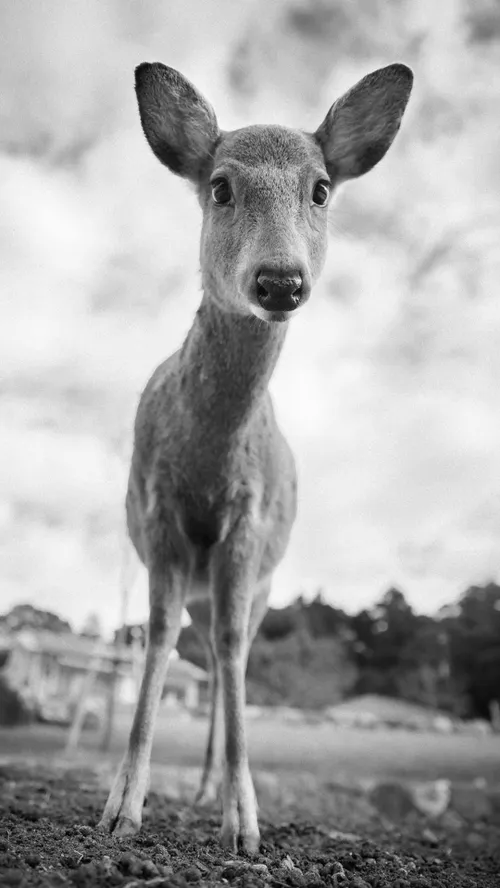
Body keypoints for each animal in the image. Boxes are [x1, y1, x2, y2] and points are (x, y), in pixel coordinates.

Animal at [98, 60, 414, 852]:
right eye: (220, 186)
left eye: (321, 188)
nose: (280, 280)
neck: (210, 456)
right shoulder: (159, 513)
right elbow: (156, 638)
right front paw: (121, 807)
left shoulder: (251, 520)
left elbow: (236, 644)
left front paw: (244, 823)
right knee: (207, 652)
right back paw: (196, 787)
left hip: (265, 578)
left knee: (226, 653)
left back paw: (215, 791)